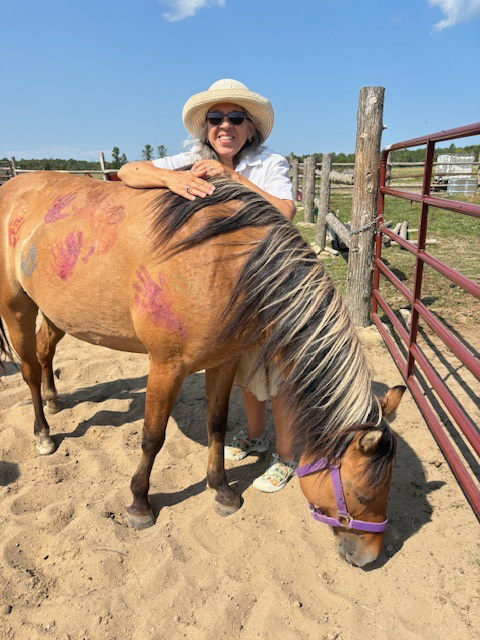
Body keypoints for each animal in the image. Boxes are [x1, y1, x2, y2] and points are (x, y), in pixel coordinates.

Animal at [0, 171, 405, 567]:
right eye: (360, 493)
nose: (369, 557)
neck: (226, 266)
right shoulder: (166, 366)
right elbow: (153, 436)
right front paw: (140, 504)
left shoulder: (225, 361)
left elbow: (217, 425)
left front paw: (222, 490)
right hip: (17, 309)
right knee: (29, 370)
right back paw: (43, 433)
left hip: (57, 312)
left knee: (45, 351)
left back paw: (54, 401)